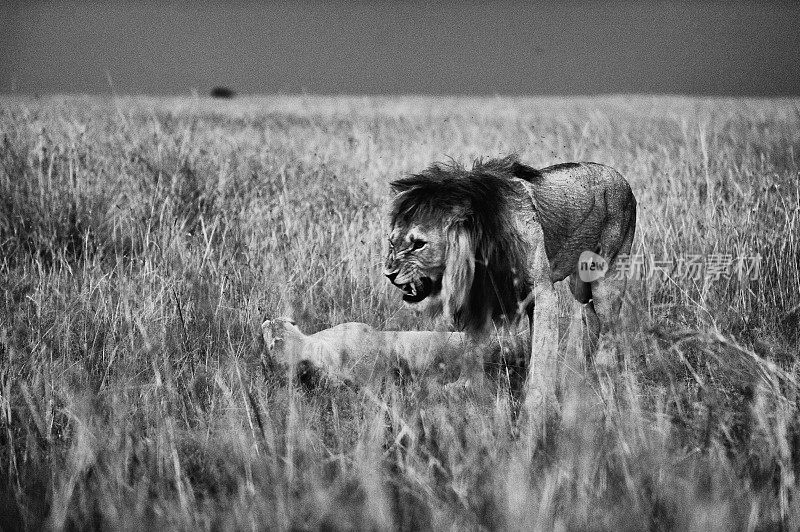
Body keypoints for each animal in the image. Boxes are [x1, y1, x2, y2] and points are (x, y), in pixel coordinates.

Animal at [382, 156, 636, 418]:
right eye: (392, 243)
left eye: (419, 244)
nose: (389, 274)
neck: (481, 247)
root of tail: (618, 175)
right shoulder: (481, 293)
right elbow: (474, 344)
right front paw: (464, 387)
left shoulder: (543, 292)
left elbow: (543, 351)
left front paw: (536, 405)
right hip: (579, 285)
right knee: (590, 315)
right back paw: (584, 365)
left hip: (606, 278)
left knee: (608, 322)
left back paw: (603, 369)